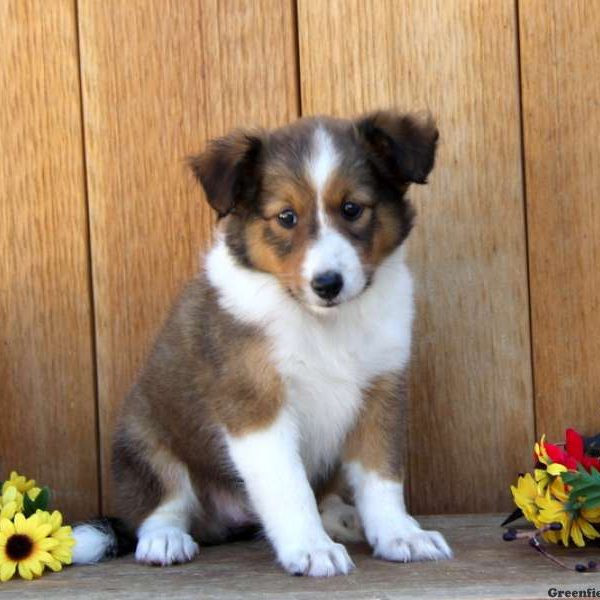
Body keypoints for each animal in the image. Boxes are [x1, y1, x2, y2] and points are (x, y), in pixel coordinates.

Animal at [72, 111, 450, 576]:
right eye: (286, 217)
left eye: (352, 209)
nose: (327, 284)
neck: (322, 322)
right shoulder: (256, 405)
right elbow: (289, 486)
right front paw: (311, 549)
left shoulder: (381, 391)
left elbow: (382, 477)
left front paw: (401, 535)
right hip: (145, 438)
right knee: (162, 504)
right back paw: (165, 540)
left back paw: (341, 516)